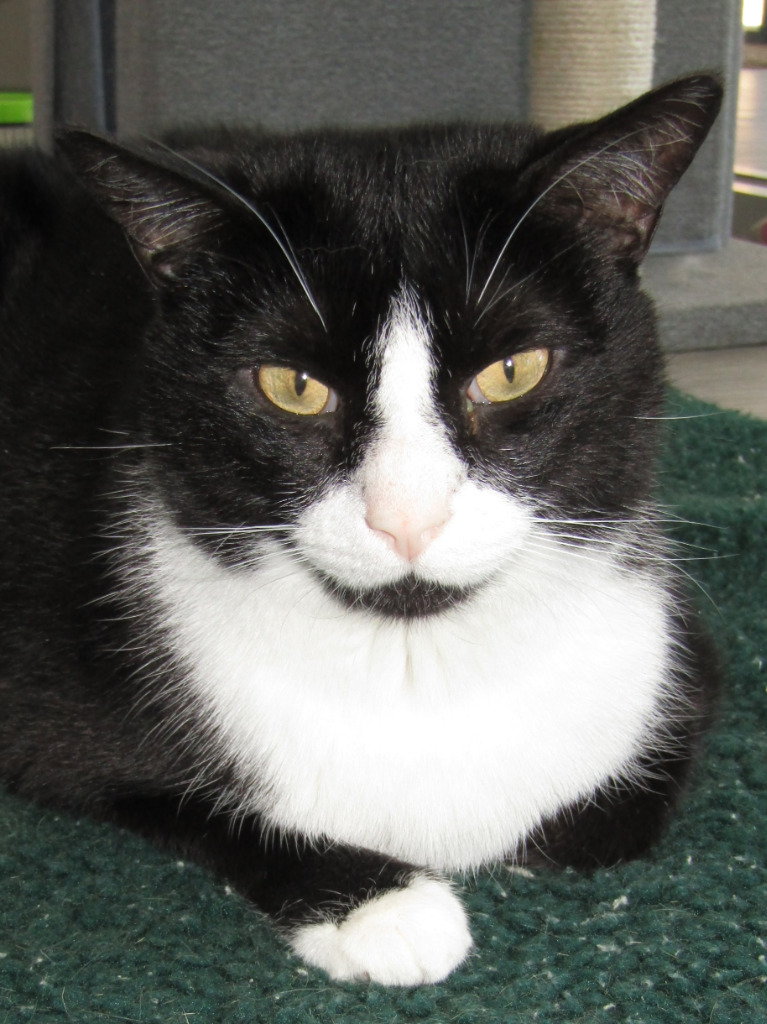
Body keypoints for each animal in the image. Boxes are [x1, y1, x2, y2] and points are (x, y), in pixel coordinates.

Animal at [0, 75, 716, 987]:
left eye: (512, 371)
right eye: (292, 386)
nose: (406, 517)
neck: (416, 671)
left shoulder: (679, 661)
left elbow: (593, 825)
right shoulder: (42, 693)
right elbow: (186, 799)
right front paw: (378, 906)